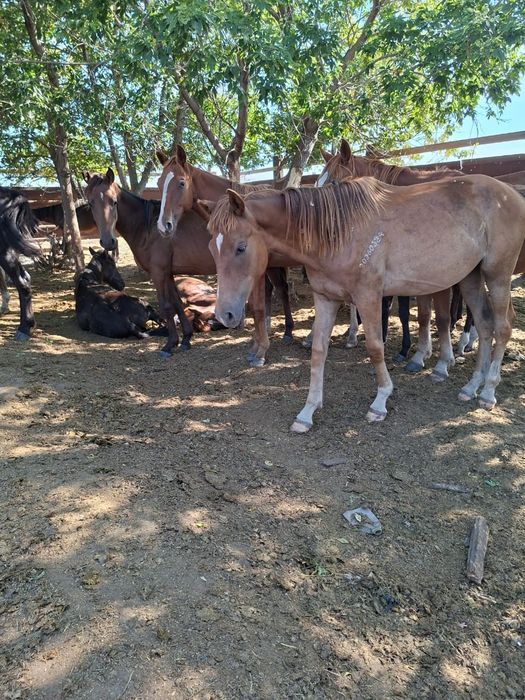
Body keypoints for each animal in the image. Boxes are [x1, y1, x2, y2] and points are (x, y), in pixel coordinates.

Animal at [83, 167, 292, 366]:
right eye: (91, 203)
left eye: (114, 202)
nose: (108, 241)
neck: (148, 228)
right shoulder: (168, 273)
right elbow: (177, 303)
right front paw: (185, 339)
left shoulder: (158, 272)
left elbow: (167, 306)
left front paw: (169, 345)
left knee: (281, 290)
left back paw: (286, 332)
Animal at [206, 177, 525, 430]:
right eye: (212, 247)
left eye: (241, 247)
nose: (224, 315)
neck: (338, 232)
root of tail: (511, 193)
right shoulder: (326, 299)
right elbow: (319, 351)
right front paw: (308, 411)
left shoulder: (368, 296)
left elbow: (374, 347)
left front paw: (380, 401)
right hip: (471, 277)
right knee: (484, 325)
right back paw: (471, 386)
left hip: (497, 275)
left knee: (503, 326)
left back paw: (488, 392)